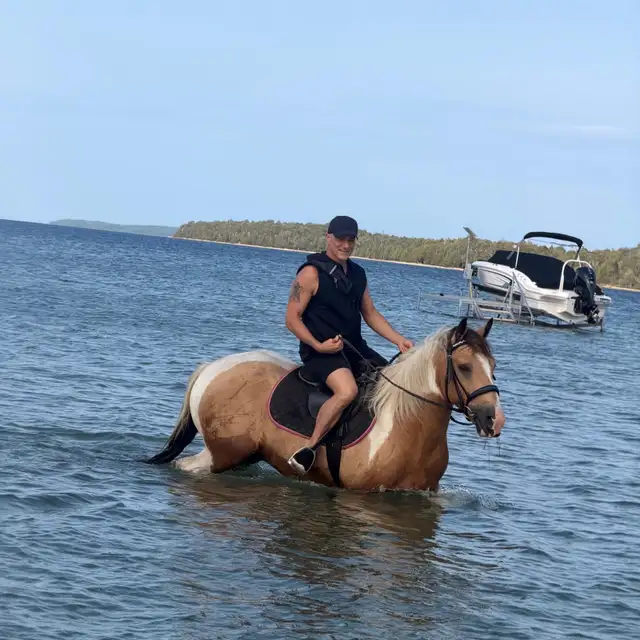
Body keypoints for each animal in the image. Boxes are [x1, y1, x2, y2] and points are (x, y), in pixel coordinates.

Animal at [144, 317, 505, 491]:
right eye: (464, 367)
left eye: (493, 365)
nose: (493, 420)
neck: (407, 424)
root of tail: (214, 367)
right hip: (221, 455)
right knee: (188, 467)